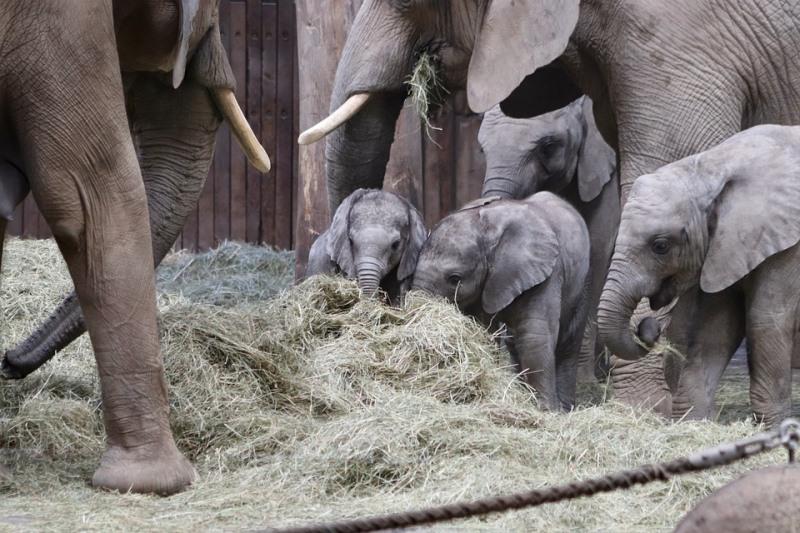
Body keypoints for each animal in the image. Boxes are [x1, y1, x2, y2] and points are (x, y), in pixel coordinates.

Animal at [416, 193, 592, 410]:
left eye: (455, 279)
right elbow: (483, 331)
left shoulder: (547, 273)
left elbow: (535, 337)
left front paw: (546, 411)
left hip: (583, 281)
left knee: (569, 341)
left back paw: (566, 408)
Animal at [600, 124, 800, 428]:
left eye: (660, 246)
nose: (650, 327)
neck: (713, 167)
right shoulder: (723, 247)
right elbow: (715, 327)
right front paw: (693, 422)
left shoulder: (789, 245)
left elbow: (765, 321)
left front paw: (777, 428)